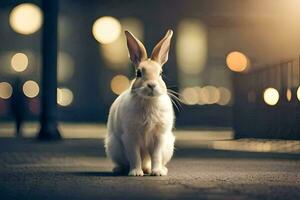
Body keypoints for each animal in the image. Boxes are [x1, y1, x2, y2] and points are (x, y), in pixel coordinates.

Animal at [105, 28, 176, 176]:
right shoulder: (130, 137)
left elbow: (156, 156)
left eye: (160, 73)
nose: (152, 85)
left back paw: (158, 169)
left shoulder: (159, 137)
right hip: (114, 147)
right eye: (138, 73)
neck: (148, 101)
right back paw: (120, 169)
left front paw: (157, 172)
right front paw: (136, 173)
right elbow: (135, 156)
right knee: (125, 162)